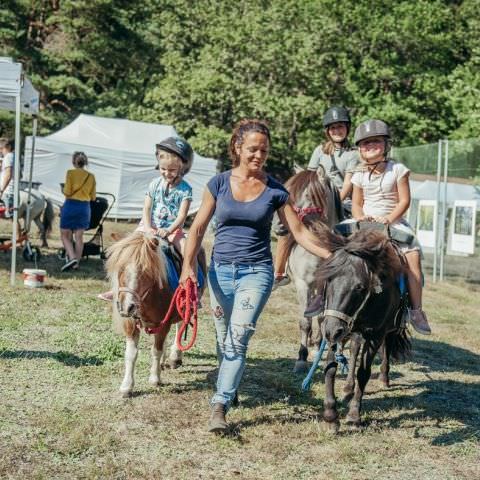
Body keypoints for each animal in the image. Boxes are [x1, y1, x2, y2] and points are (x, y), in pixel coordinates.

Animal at [314, 227, 410, 430]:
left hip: (389, 330)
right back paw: (348, 388)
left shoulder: (375, 335)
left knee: (386, 350)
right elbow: (331, 367)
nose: (332, 330)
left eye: (359, 287)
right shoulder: (336, 331)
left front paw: (353, 415)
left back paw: (384, 378)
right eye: (329, 279)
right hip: (352, 331)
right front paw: (331, 415)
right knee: (354, 351)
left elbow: (364, 373)